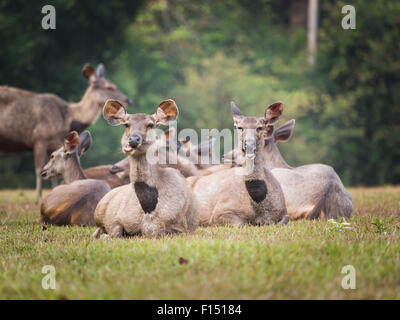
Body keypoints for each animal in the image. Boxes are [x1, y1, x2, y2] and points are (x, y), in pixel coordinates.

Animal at [0, 63, 129, 204]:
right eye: (109, 87)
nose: (128, 100)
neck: (69, 119)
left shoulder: (54, 143)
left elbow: (54, 176)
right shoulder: (40, 138)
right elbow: (38, 168)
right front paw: (38, 199)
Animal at [93, 99, 200, 238]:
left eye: (150, 125)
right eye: (126, 124)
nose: (133, 139)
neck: (149, 209)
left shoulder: (180, 227)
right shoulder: (119, 219)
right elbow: (114, 231)